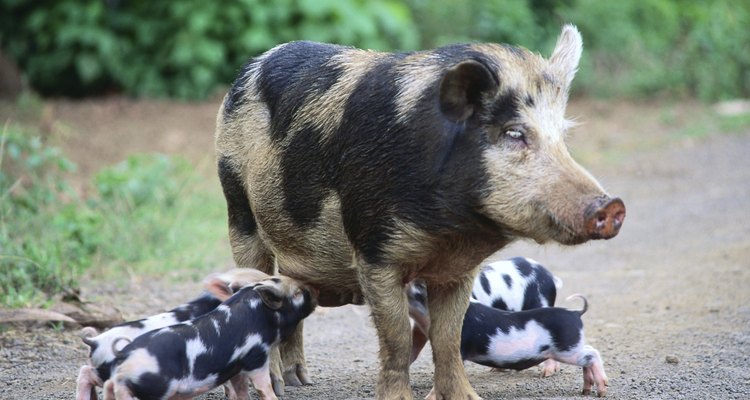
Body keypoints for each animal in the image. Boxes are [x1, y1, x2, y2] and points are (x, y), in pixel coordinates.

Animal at [100, 276, 318, 400]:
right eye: (298, 293)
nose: (316, 291)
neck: (256, 313)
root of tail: (124, 357)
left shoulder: (236, 368)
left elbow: (241, 391)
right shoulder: (255, 356)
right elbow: (264, 387)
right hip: (155, 387)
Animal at [214, 25, 624, 400]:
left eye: (563, 137)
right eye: (514, 133)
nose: (613, 206)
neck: (450, 231)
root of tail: (251, 67)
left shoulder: (458, 270)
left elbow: (448, 339)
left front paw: (466, 397)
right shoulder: (374, 251)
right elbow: (395, 340)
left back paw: (301, 380)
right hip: (237, 205)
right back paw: (279, 386)